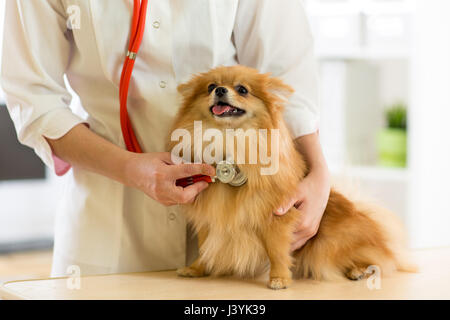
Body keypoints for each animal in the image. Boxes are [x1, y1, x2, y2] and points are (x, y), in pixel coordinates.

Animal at [168, 65, 414, 290]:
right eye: (210, 87)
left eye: (242, 89)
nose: (219, 90)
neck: (228, 139)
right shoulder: (209, 216)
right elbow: (205, 246)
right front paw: (196, 268)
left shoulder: (276, 217)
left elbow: (276, 251)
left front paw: (279, 279)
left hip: (328, 243)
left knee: (376, 261)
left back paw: (358, 270)